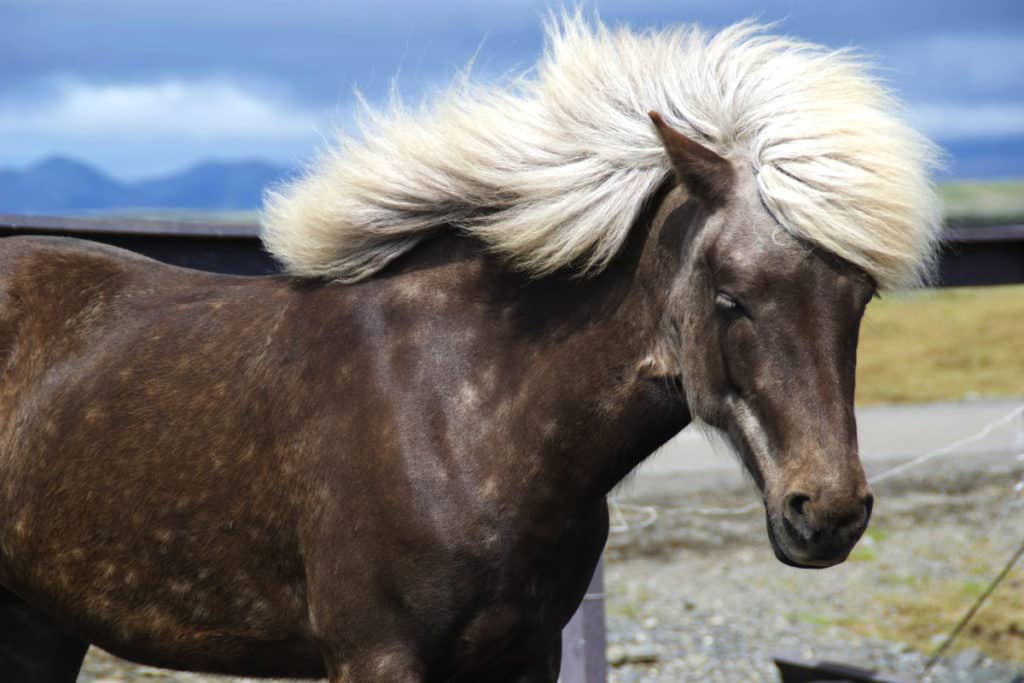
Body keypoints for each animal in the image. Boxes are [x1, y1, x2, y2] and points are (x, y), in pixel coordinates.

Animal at [0, 17, 940, 683]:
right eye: (730, 296)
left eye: (858, 299)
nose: (828, 512)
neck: (464, 418)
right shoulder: (376, 656)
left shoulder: (526, 653)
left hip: (42, 623)